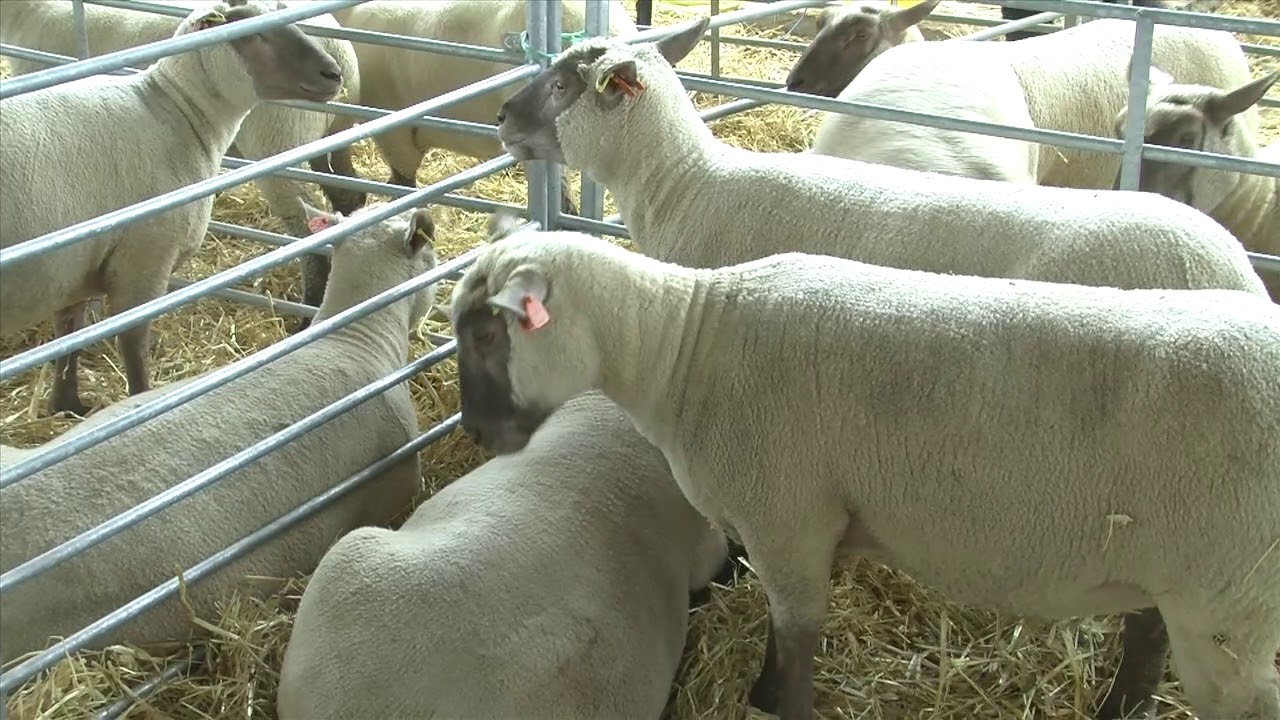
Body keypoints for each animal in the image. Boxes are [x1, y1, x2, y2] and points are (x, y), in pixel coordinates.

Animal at [0, 0, 343, 417]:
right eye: (252, 33)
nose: (333, 73)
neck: (179, 110)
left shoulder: (73, 264)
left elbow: (69, 335)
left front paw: (67, 407)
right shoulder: (143, 258)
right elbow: (132, 344)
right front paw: (139, 404)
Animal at [451, 228, 1280, 720]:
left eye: (490, 332)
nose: (474, 432)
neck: (683, 347)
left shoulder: (788, 522)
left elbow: (796, 636)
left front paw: (776, 703)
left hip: (1230, 598)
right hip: (1184, 577)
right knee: (1147, 645)